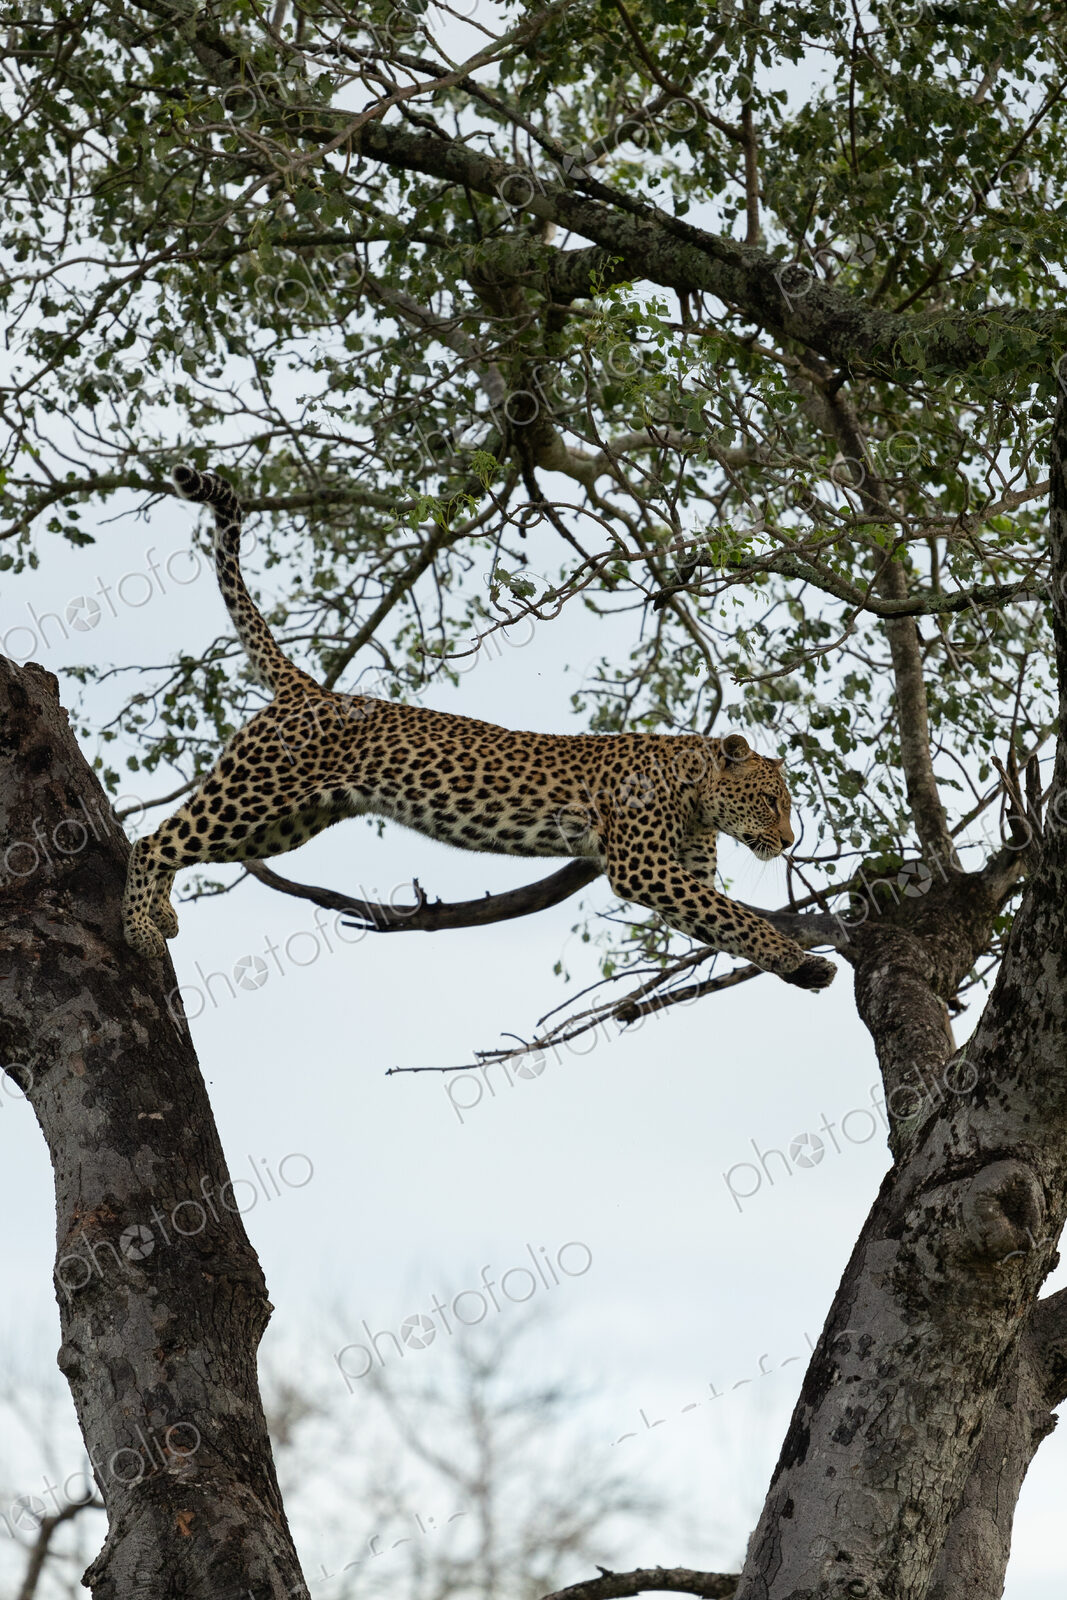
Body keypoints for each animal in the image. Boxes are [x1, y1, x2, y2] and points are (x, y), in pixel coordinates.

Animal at [121, 465, 836, 991]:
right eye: (770, 800)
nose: (788, 841)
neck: (695, 796)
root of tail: (310, 691)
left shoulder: (680, 875)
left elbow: (725, 922)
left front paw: (799, 968)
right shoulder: (644, 866)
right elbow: (736, 915)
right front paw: (795, 956)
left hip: (287, 821)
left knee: (175, 846)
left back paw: (163, 913)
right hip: (253, 796)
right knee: (152, 841)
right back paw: (140, 929)